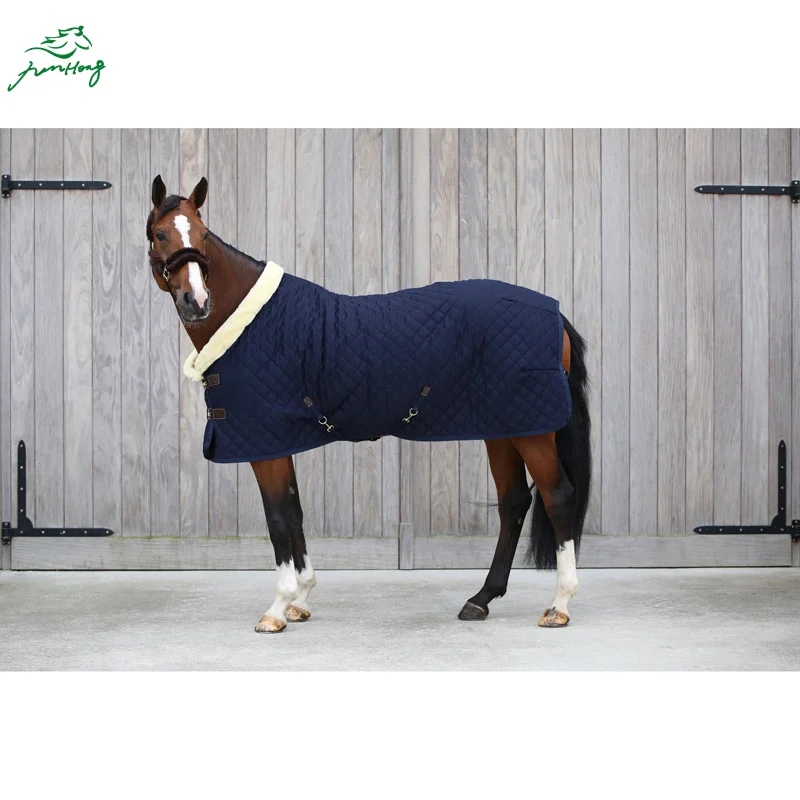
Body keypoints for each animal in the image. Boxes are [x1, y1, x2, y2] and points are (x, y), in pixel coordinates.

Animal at [147, 174, 592, 633]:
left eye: (201, 234)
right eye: (160, 233)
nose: (196, 301)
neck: (253, 323)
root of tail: (554, 314)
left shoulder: (265, 446)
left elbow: (278, 518)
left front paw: (277, 608)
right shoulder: (279, 441)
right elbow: (294, 512)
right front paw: (300, 600)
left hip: (533, 431)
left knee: (558, 496)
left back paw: (559, 605)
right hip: (504, 428)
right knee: (513, 503)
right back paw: (481, 599)